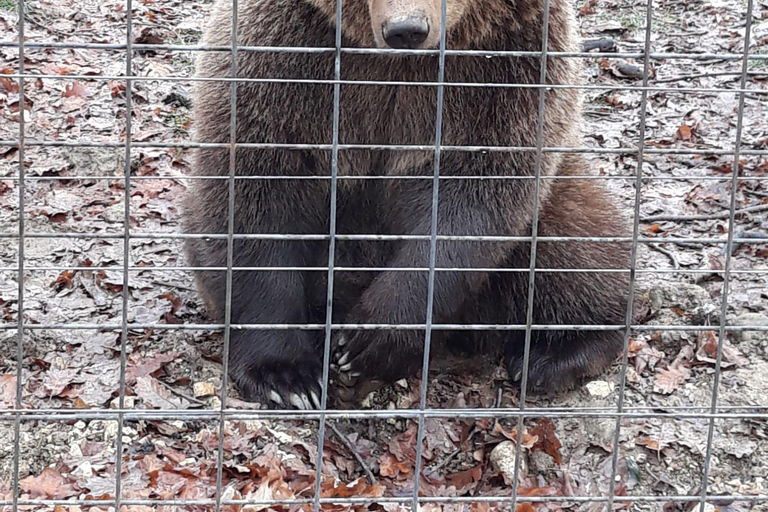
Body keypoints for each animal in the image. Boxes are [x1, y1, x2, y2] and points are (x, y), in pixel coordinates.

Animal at [184, 0, 632, 410]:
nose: (406, 30)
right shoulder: (288, 61)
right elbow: (256, 194)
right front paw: (287, 377)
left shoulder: (503, 71)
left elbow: (474, 202)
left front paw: (364, 342)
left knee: (571, 237)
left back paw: (552, 355)